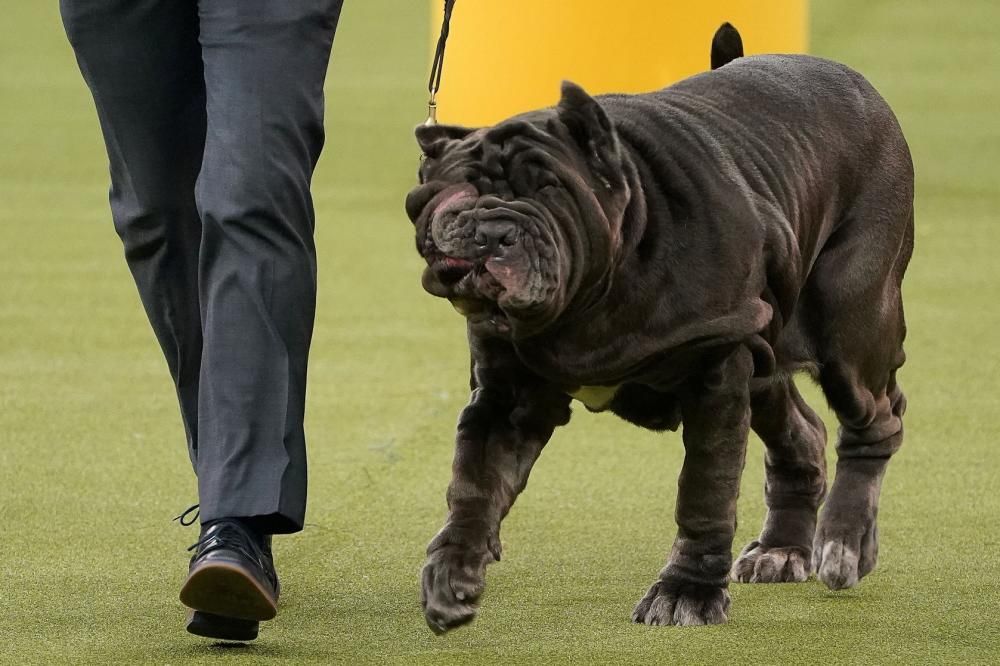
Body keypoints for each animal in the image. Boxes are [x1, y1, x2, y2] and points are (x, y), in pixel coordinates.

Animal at [406, 23, 916, 632]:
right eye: (455, 194)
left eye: (548, 191)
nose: (489, 229)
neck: (591, 294)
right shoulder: (507, 397)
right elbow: (474, 483)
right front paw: (451, 574)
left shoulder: (716, 374)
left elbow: (704, 491)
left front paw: (687, 592)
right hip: (766, 355)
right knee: (804, 430)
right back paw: (782, 549)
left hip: (850, 326)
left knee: (876, 420)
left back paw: (844, 542)